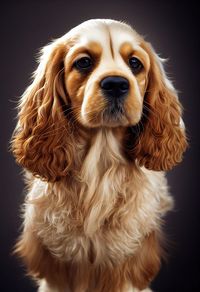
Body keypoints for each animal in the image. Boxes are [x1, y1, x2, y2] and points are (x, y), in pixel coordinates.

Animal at [11, 19, 188, 290]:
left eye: (135, 63)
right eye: (83, 62)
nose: (116, 84)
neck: (101, 163)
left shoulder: (126, 267)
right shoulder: (57, 269)